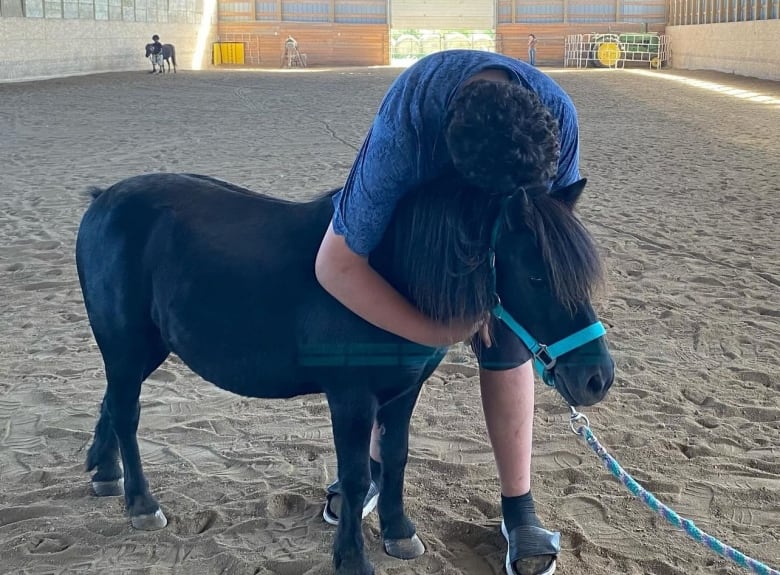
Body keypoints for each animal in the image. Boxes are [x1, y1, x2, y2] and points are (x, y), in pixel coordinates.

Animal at [77, 173, 616, 575]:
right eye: (536, 276)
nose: (597, 379)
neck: (388, 278)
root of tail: (104, 200)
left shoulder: (403, 393)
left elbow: (395, 459)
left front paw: (400, 533)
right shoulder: (351, 399)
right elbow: (356, 477)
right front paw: (352, 556)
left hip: (145, 349)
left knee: (109, 403)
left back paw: (105, 473)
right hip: (125, 346)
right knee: (125, 414)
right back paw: (141, 503)